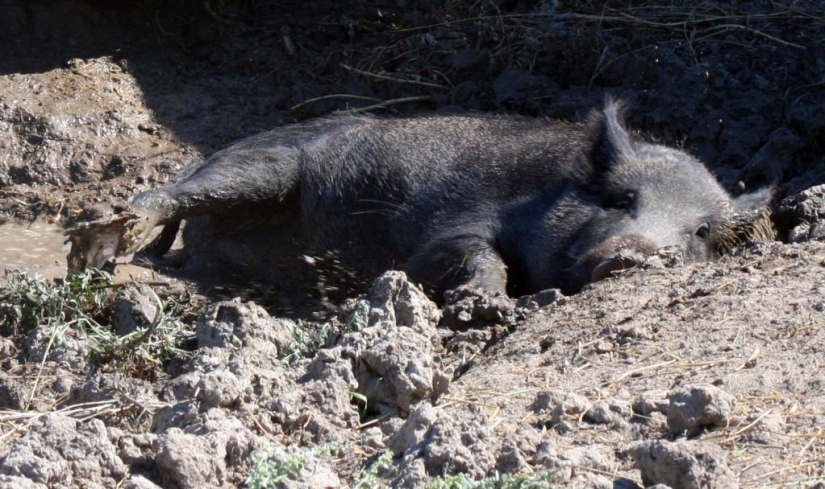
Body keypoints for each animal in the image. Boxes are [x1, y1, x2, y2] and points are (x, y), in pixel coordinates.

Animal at [67, 100, 773, 298]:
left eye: (701, 233)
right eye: (621, 198)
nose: (639, 252)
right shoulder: (450, 224)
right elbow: (470, 252)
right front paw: (486, 308)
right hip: (259, 171)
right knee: (168, 196)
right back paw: (102, 249)